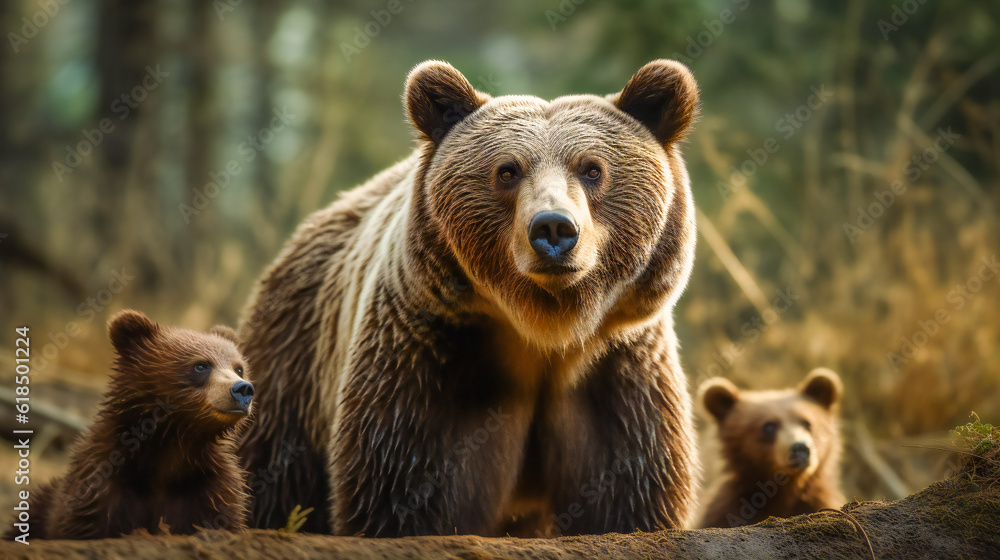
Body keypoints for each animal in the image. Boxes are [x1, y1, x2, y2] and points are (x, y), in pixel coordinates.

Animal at [236, 59, 701, 537]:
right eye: (507, 170)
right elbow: (403, 488)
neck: (544, 330)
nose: (553, 228)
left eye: (593, 169)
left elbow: (630, 491)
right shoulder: (434, 358)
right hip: (296, 366)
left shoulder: (616, 372)